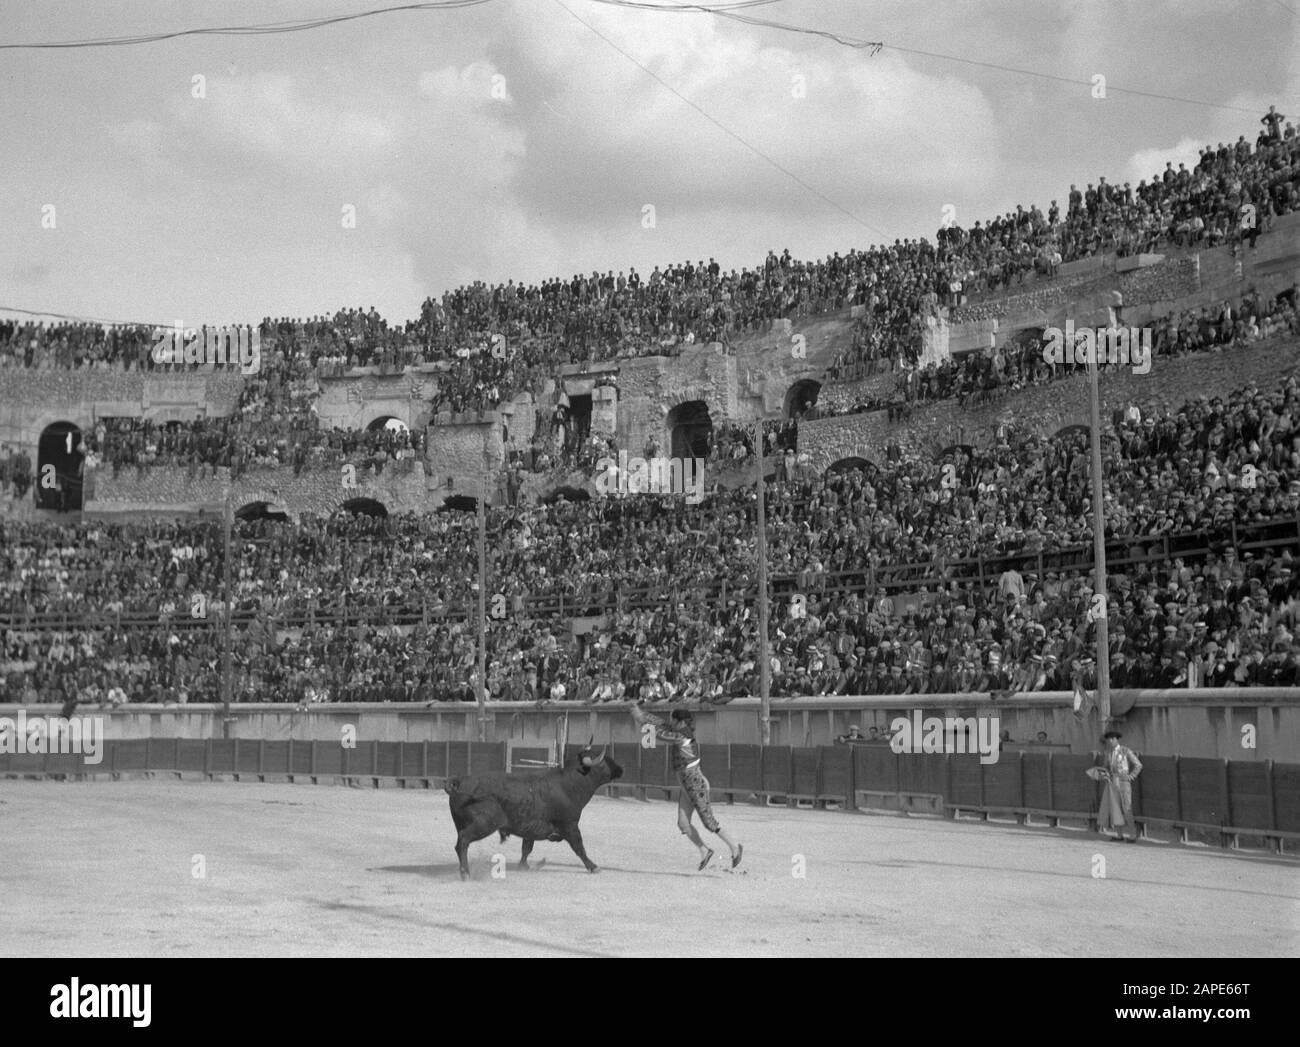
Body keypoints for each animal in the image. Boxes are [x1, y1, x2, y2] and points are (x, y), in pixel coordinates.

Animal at [444, 738, 621, 879]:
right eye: (603, 763)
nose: (620, 769)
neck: (569, 784)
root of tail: (460, 781)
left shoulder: (530, 828)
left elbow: (526, 848)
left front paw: (523, 867)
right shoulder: (570, 825)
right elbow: (579, 847)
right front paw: (593, 867)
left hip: (462, 825)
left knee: (460, 844)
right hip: (483, 825)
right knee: (463, 842)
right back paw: (466, 873)